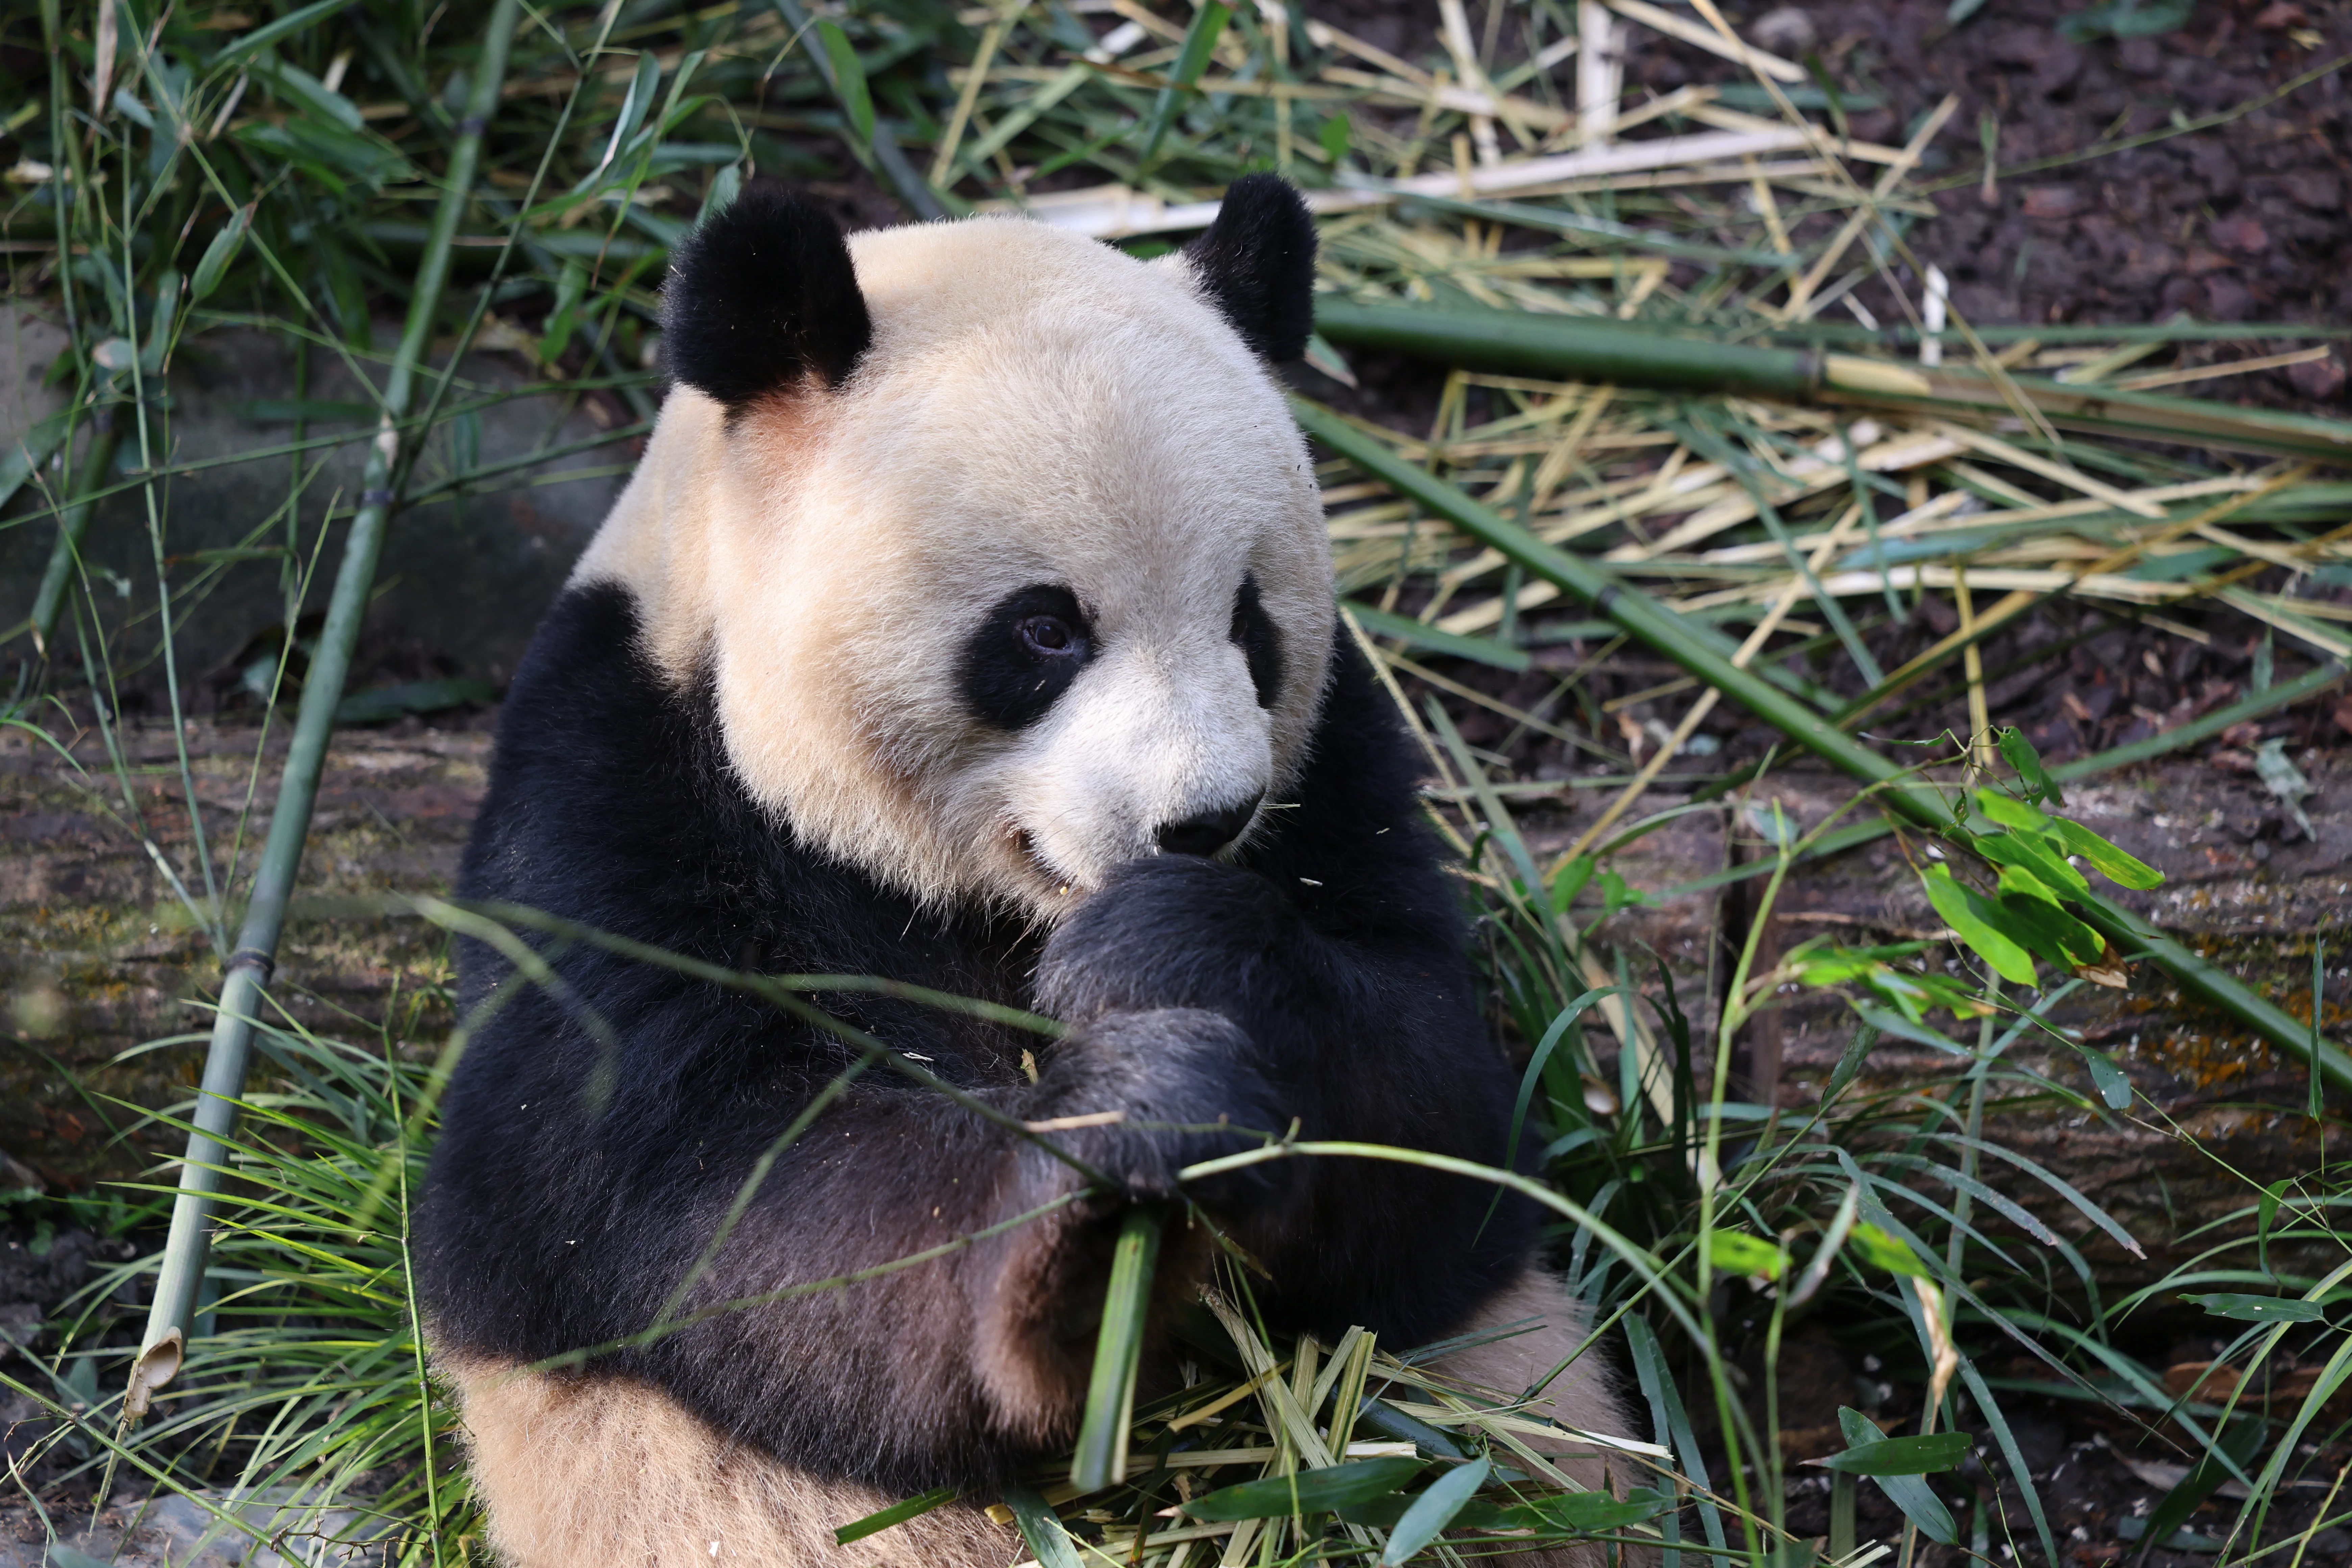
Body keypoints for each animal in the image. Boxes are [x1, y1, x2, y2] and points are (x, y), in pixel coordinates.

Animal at [417, 176, 1638, 1568]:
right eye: (1045, 629)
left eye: (1249, 621)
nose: (1205, 819)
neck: (986, 909)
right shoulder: (618, 814)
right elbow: (712, 1193)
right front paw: (1105, 1191)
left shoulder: (1338, 782)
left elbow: (1445, 1123)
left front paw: (1171, 955)